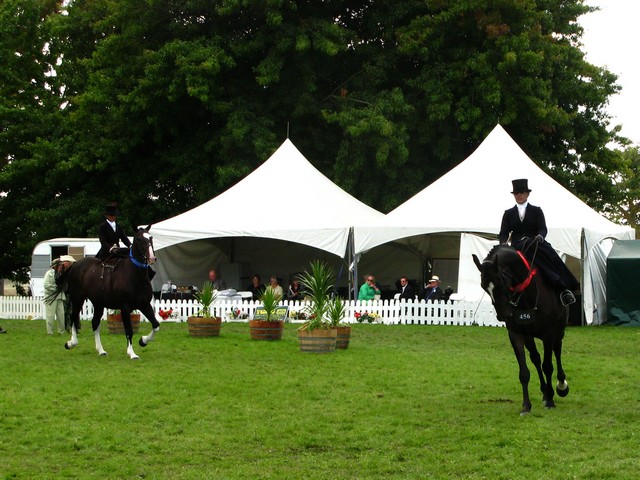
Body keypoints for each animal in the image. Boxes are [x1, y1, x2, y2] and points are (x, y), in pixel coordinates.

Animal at [59, 227, 160, 358]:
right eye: (138, 239)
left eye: (151, 238)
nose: (152, 258)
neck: (134, 276)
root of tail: (75, 264)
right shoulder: (125, 307)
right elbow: (129, 330)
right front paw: (132, 353)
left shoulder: (144, 305)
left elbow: (156, 325)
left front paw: (143, 341)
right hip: (78, 298)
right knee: (73, 317)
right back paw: (71, 343)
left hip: (98, 303)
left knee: (95, 323)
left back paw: (101, 350)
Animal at [470, 244, 568, 412]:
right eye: (484, 287)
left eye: (500, 281)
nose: (504, 315)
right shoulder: (516, 334)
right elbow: (524, 372)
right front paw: (526, 406)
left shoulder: (548, 334)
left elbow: (548, 366)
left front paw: (550, 400)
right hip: (530, 337)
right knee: (536, 358)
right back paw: (544, 392)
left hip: (558, 331)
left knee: (557, 350)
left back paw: (561, 386)